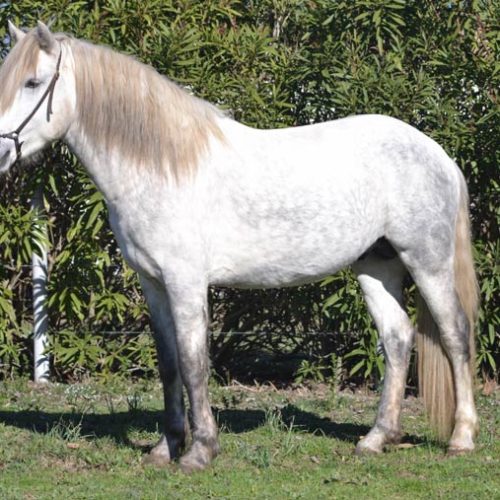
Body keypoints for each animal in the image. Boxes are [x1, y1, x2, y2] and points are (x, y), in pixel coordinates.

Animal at [0, 22, 478, 468]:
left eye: (33, 83)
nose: (1, 154)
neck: (162, 166)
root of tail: (438, 154)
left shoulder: (186, 282)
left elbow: (193, 362)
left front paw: (199, 451)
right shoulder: (153, 284)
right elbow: (169, 363)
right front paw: (165, 447)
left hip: (428, 262)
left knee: (455, 334)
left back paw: (461, 438)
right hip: (377, 266)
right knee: (397, 338)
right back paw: (377, 438)